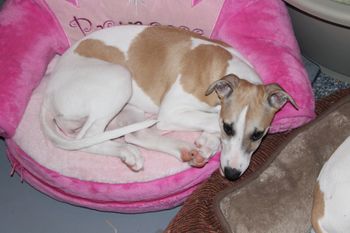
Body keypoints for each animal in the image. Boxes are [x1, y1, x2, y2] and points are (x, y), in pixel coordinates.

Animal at [41, 25, 298, 180]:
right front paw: (211, 137)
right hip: (120, 78)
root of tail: (48, 91)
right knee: (85, 138)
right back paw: (126, 151)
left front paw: (207, 143)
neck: (222, 72)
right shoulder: (171, 112)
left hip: (131, 109)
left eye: (258, 135)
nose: (232, 173)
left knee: (135, 134)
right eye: (228, 127)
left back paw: (177, 149)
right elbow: (210, 120)